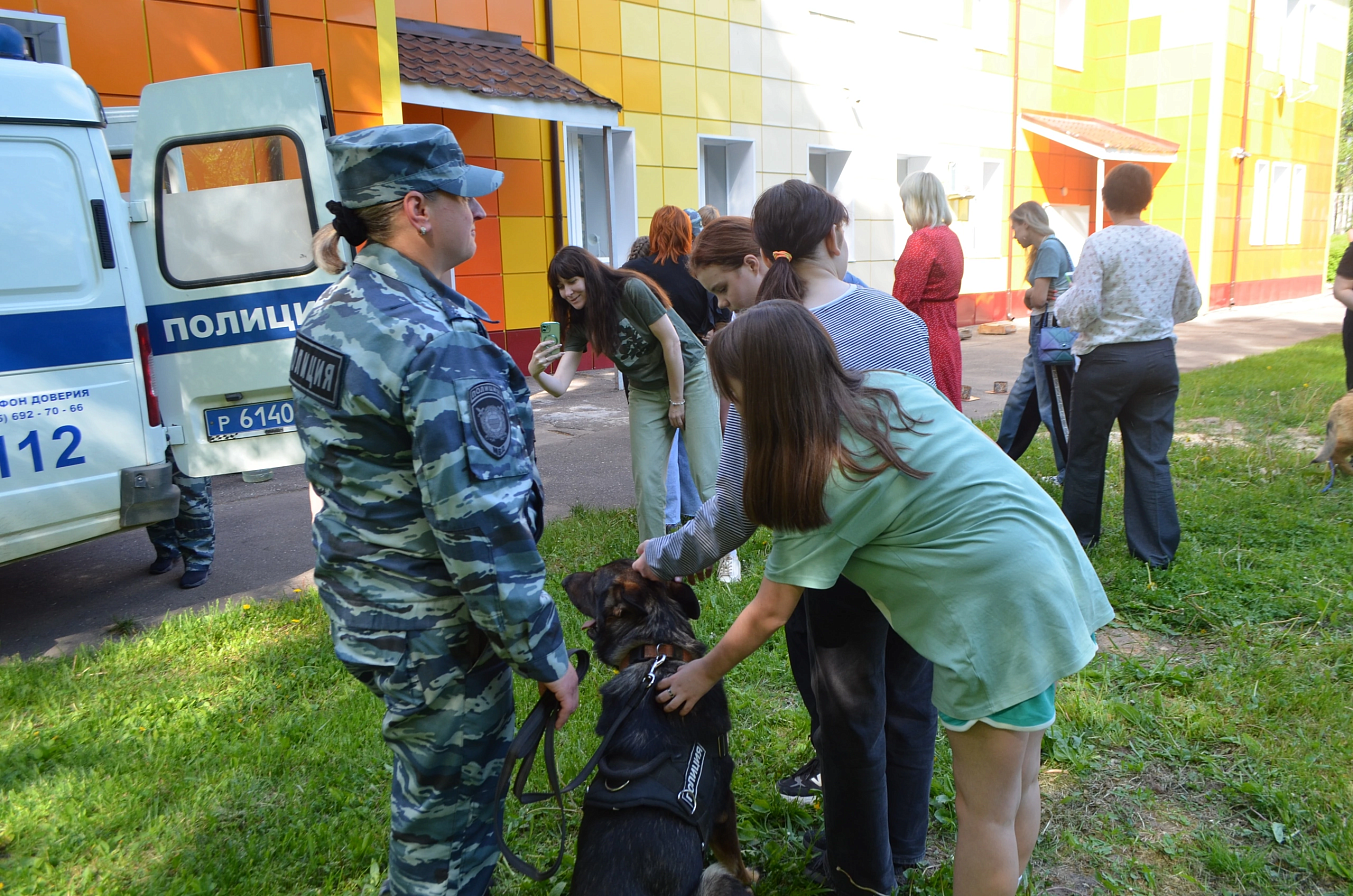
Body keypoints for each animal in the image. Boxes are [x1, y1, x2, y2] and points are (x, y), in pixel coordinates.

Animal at [562, 563, 763, 896]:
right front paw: (751, 878)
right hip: (712, 879)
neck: (656, 651)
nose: (563, 581)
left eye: (592, 579)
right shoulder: (723, 803)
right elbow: (734, 858)